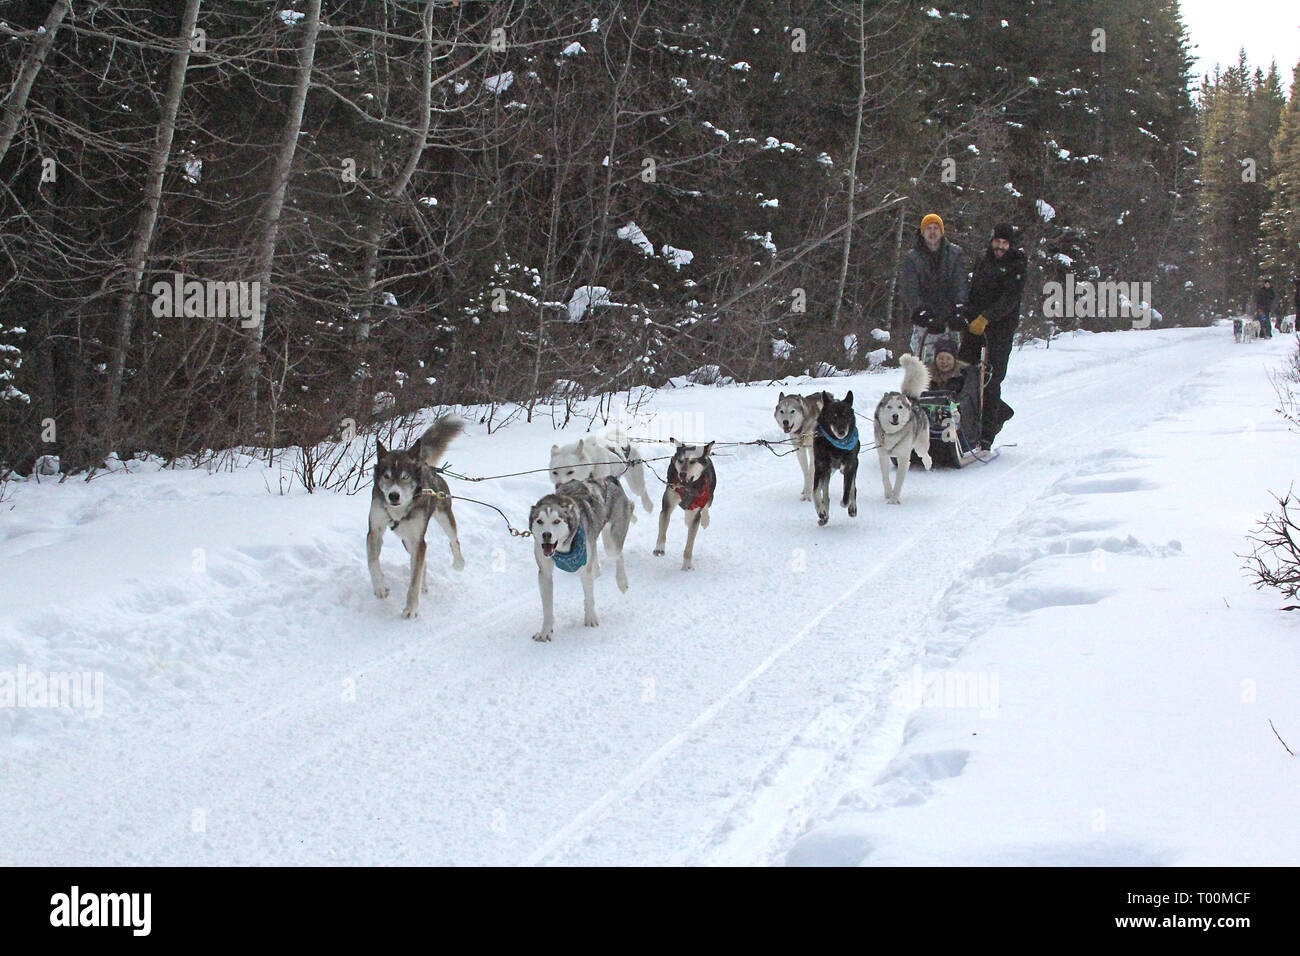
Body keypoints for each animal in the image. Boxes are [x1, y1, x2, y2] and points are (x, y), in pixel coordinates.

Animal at [366, 418, 467, 621]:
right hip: (406, 540)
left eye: (405, 477)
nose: (393, 495)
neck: (399, 509)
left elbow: (413, 581)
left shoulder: (417, 539)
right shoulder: (374, 531)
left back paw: (459, 563)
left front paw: (411, 608)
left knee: (453, 540)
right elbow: (372, 560)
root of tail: (425, 465)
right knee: (422, 563)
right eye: (387, 476)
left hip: (443, 517)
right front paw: (380, 586)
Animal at [525, 478, 631, 642]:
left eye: (556, 521)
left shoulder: (584, 567)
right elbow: (547, 609)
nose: (546, 535)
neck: (563, 549)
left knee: (618, 555)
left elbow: (589, 596)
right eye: (539, 521)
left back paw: (622, 581)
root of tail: (608, 479)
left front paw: (591, 619)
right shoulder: (544, 574)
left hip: (611, 543)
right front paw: (545, 632)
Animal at [655, 439, 717, 567]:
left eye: (693, 461)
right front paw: (659, 548)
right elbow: (663, 529)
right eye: (680, 460)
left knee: (705, 507)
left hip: (709, 497)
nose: (682, 474)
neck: (687, 488)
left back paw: (705, 520)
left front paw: (687, 564)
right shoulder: (667, 506)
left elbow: (689, 543)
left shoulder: (697, 509)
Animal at [873, 351, 935, 502]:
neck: (892, 434)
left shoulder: (903, 457)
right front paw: (889, 493)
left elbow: (899, 481)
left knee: (924, 453)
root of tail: (910, 398)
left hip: (920, 443)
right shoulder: (883, 455)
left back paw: (928, 463)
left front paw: (894, 499)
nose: (895, 416)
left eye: (900, 407)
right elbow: (885, 478)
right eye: (889, 407)